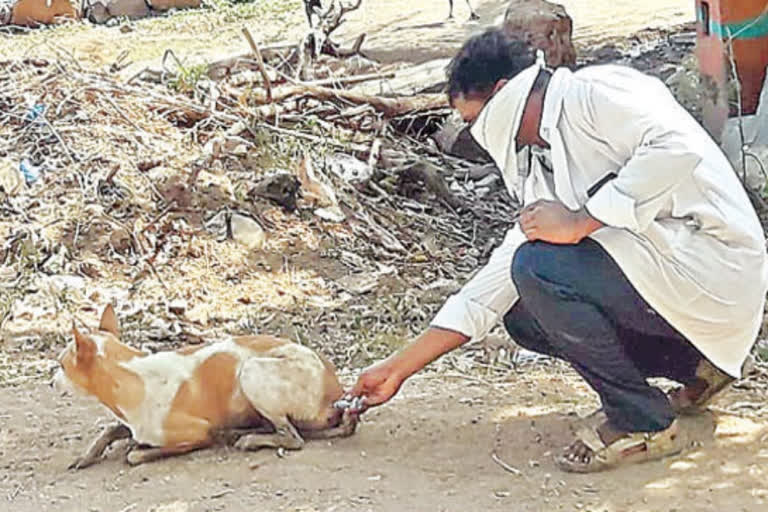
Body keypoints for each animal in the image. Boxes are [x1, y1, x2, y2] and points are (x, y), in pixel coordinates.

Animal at [55, 304, 362, 468]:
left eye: (60, 365)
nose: (50, 380)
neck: (131, 376)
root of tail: (336, 392)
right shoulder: (128, 422)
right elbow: (109, 430)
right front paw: (87, 455)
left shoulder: (198, 432)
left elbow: (135, 455)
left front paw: (138, 448)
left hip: (251, 371)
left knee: (294, 438)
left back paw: (249, 439)